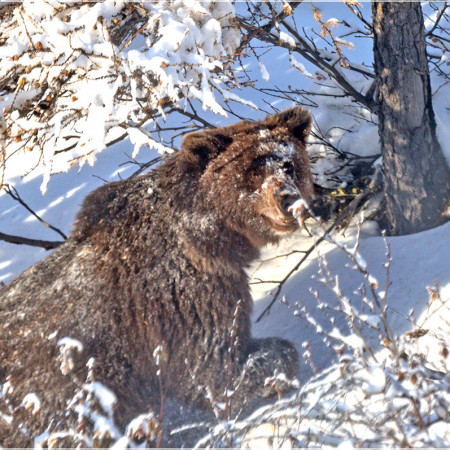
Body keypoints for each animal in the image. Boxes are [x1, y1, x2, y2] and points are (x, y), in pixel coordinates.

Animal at [0, 106, 314, 446]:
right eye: (252, 171)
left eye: (288, 163)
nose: (287, 198)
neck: (204, 239)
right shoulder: (174, 298)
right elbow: (213, 368)